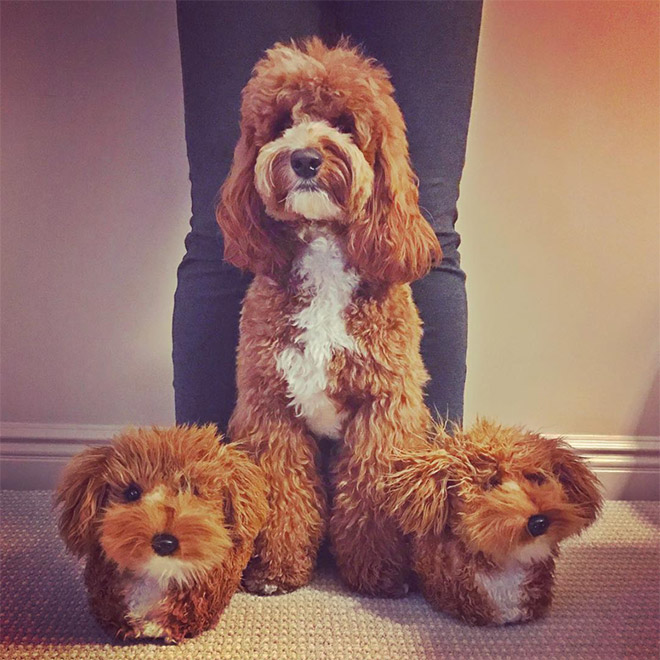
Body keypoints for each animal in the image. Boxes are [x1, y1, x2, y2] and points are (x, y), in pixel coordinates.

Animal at [217, 40, 440, 600]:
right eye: (280, 124)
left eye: (345, 123)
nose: (304, 158)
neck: (321, 251)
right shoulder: (270, 409)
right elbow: (285, 495)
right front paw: (275, 570)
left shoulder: (383, 411)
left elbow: (369, 493)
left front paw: (378, 572)